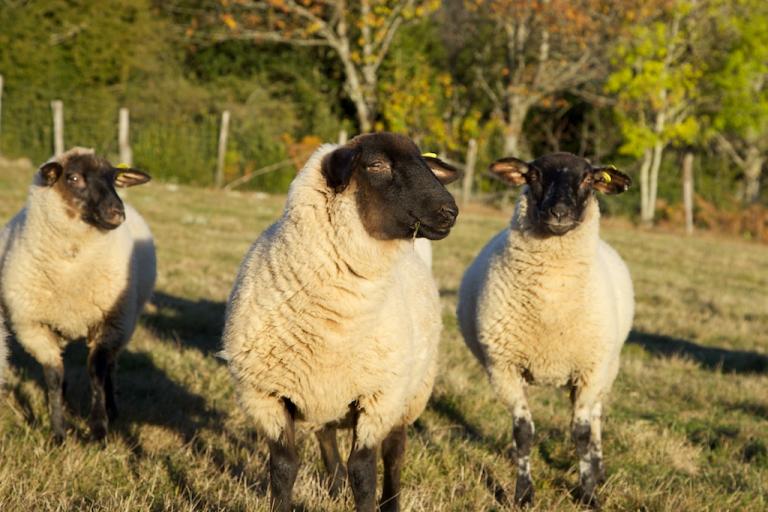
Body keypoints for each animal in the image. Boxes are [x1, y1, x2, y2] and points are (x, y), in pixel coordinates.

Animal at [0, 147, 156, 440]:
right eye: (73, 178)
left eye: (114, 178)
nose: (117, 212)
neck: (70, 268)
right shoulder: (35, 328)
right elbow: (53, 377)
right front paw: (58, 433)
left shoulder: (109, 325)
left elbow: (96, 373)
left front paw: (98, 430)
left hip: (126, 324)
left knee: (111, 368)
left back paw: (112, 409)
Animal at [222, 133, 462, 512]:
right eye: (376, 165)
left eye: (425, 163)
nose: (449, 212)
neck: (335, 328)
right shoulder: (266, 396)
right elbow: (283, 467)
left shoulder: (378, 398)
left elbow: (363, 472)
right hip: (326, 396)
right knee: (326, 437)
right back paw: (334, 489)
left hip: (409, 394)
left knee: (394, 454)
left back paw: (391, 502)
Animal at [460, 152, 632, 508]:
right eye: (534, 175)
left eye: (588, 179)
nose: (560, 213)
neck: (551, 301)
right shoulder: (503, 370)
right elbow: (524, 434)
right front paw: (523, 494)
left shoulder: (589, 371)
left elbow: (581, 434)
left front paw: (588, 493)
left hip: (607, 368)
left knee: (597, 415)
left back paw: (599, 468)